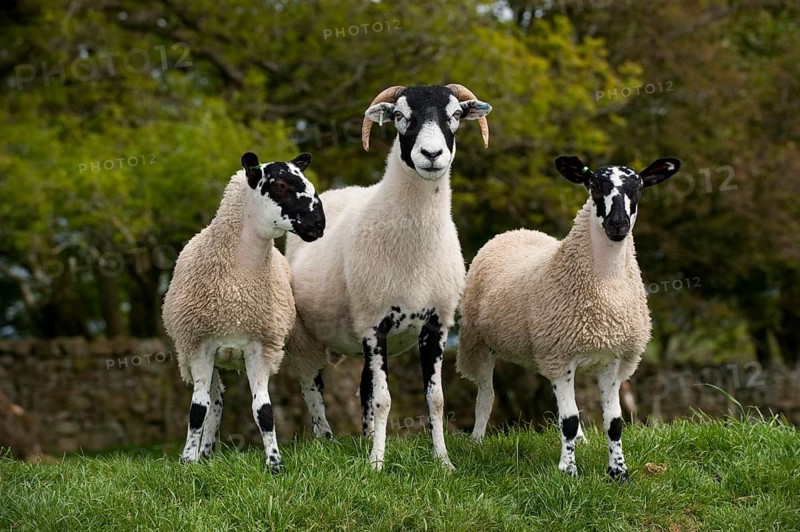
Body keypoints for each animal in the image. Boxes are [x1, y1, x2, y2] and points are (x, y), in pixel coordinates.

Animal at [162, 151, 325, 472]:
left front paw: (275, 464)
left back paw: (328, 440)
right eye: (280, 185)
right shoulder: (199, 346)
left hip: (299, 339)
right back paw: (205, 454)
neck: (238, 282)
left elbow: (264, 410)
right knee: (215, 400)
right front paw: (187, 462)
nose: (319, 222)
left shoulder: (260, 347)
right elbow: (197, 409)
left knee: (312, 386)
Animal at [284, 84, 492, 470]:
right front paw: (377, 464)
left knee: (363, 386)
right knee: (311, 386)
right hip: (305, 333)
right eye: (399, 116)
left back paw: (365, 437)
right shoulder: (373, 324)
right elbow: (384, 400)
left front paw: (443, 463)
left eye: (455, 115)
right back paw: (325, 441)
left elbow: (435, 399)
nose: (431, 154)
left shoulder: (436, 324)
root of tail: (343, 190)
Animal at [456, 155, 681, 480]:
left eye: (638, 188)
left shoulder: (612, 360)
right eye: (594, 185)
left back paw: (582, 441)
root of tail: (516, 231)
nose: (618, 225)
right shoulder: (560, 356)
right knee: (486, 394)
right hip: (478, 343)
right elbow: (570, 420)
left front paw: (619, 472)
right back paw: (476, 441)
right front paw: (568, 470)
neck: (606, 286)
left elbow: (613, 422)